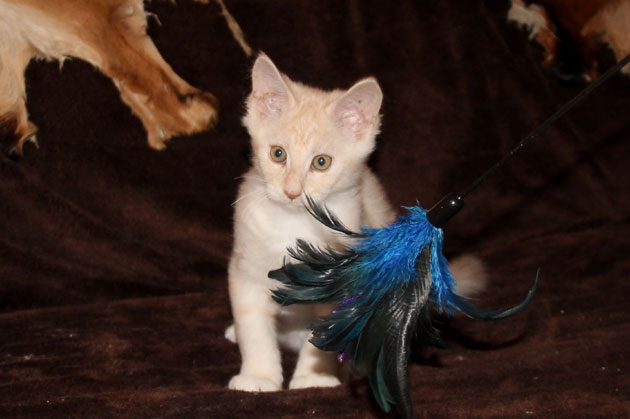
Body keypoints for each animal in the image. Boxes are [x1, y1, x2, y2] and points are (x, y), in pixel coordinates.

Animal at [225, 53, 485, 392]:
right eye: (278, 154)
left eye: (321, 162)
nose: (292, 192)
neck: (294, 227)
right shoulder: (246, 270)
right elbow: (253, 326)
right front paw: (258, 376)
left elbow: (323, 333)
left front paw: (314, 377)